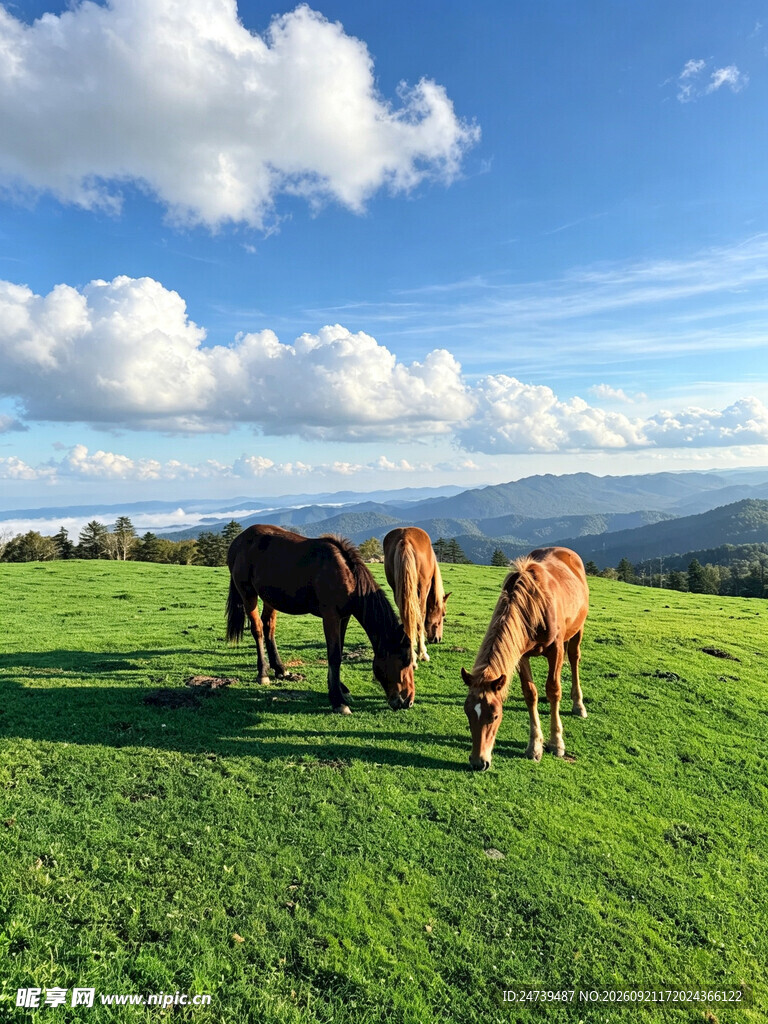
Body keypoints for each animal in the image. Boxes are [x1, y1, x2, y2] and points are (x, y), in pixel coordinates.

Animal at [226, 525, 414, 714]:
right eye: (404, 660)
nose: (407, 701)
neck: (347, 576)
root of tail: (238, 541)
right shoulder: (330, 617)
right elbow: (334, 656)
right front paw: (338, 701)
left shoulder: (344, 617)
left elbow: (338, 652)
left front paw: (341, 689)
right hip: (248, 593)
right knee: (257, 629)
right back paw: (263, 673)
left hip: (269, 599)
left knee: (268, 627)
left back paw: (280, 668)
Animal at [383, 527, 450, 664]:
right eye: (443, 614)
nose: (438, 639)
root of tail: (405, 539)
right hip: (422, 589)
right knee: (419, 615)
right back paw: (421, 654)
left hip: (398, 589)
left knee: (406, 614)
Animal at [461, 547, 588, 770]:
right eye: (467, 712)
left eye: (495, 715)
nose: (478, 762)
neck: (534, 604)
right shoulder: (520, 654)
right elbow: (530, 694)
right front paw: (534, 746)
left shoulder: (556, 650)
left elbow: (554, 690)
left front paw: (556, 743)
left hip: (577, 630)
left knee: (574, 659)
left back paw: (578, 704)